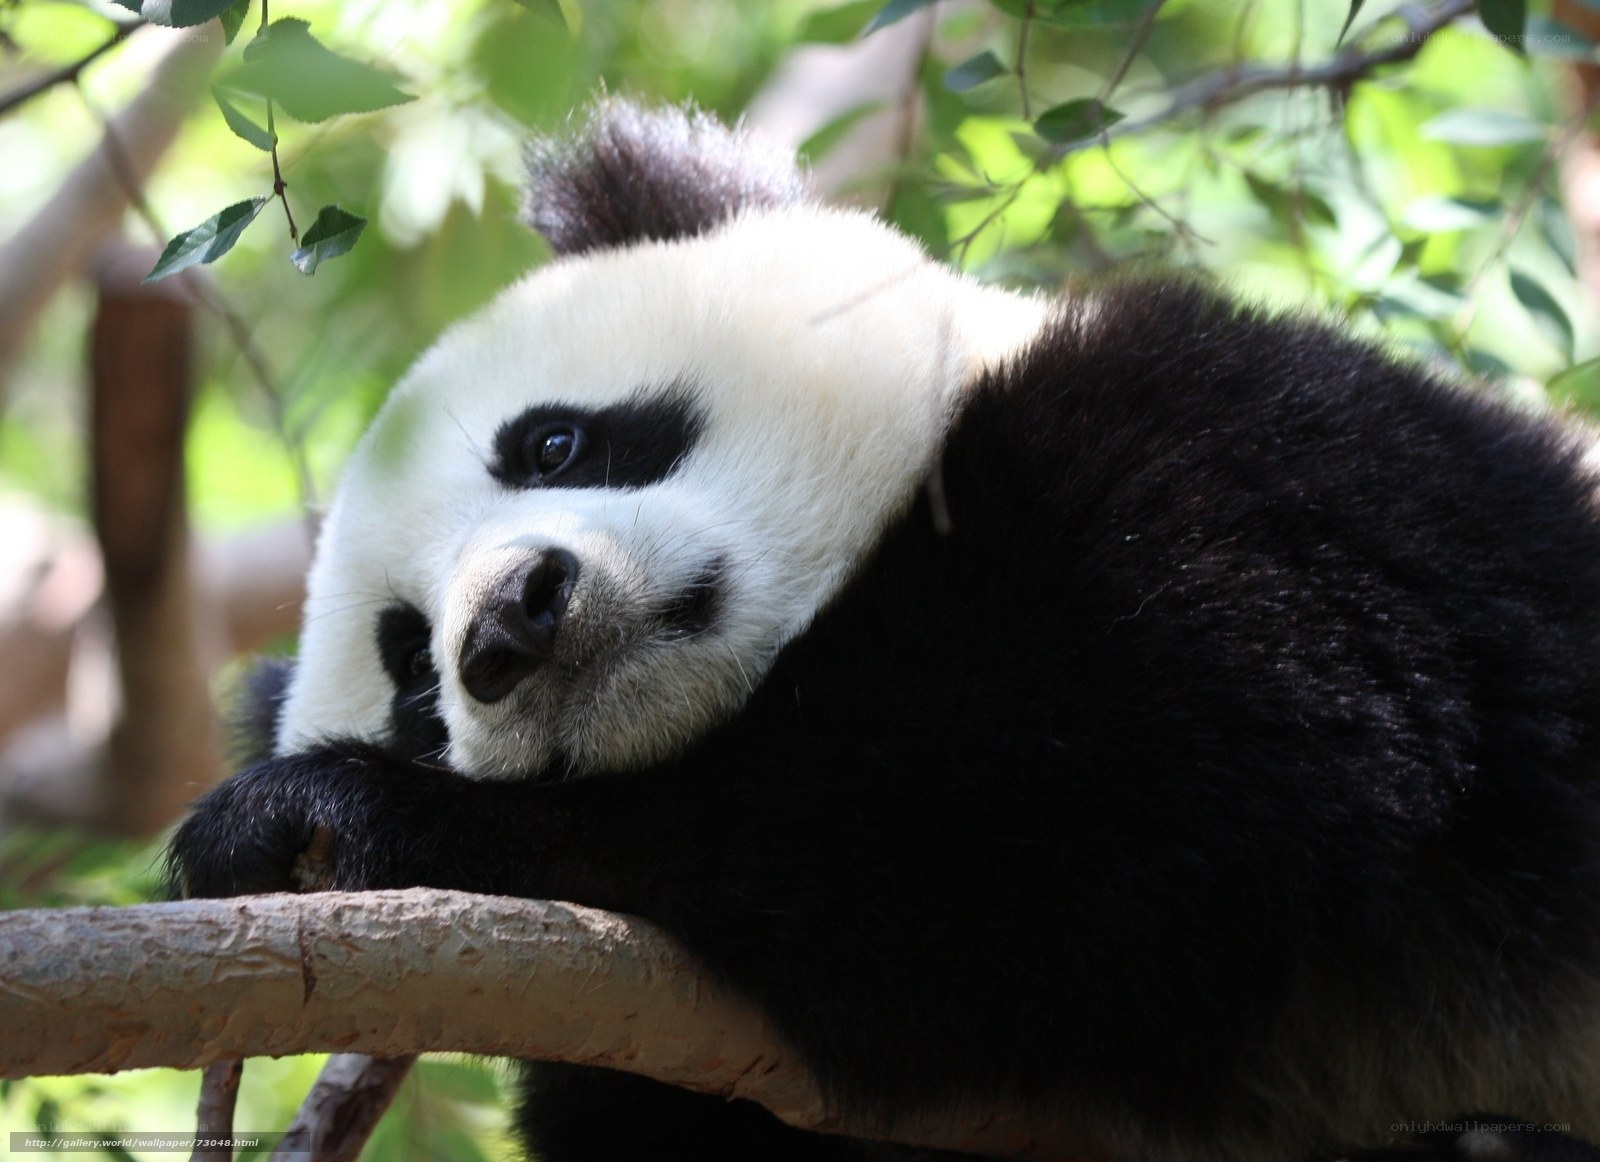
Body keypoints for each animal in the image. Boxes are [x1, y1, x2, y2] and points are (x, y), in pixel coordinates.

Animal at [171, 100, 1600, 1162]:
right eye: (415, 675)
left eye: (555, 443)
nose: (512, 624)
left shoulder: (1255, 466)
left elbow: (1111, 799)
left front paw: (331, 818)